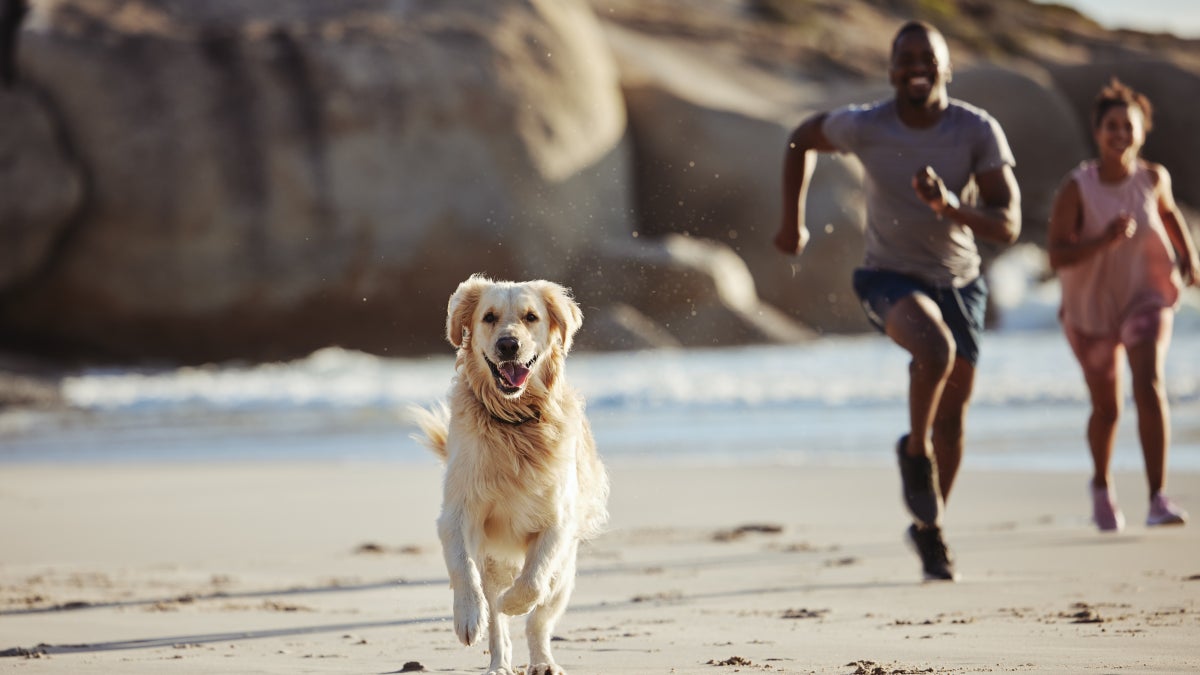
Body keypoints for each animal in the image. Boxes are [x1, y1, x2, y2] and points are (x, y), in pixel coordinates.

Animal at [410, 273, 609, 672]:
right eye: (489, 317)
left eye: (531, 317)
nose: (508, 345)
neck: (513, 423)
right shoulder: (458, 512)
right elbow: (462, 568)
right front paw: (468, 616)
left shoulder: (558, 522)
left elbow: (533, 581)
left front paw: (514, 602)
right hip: (493, 563)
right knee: (497, 624)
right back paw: (498, 662)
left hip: (566, 574)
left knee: (540, 619)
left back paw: (542, 661)